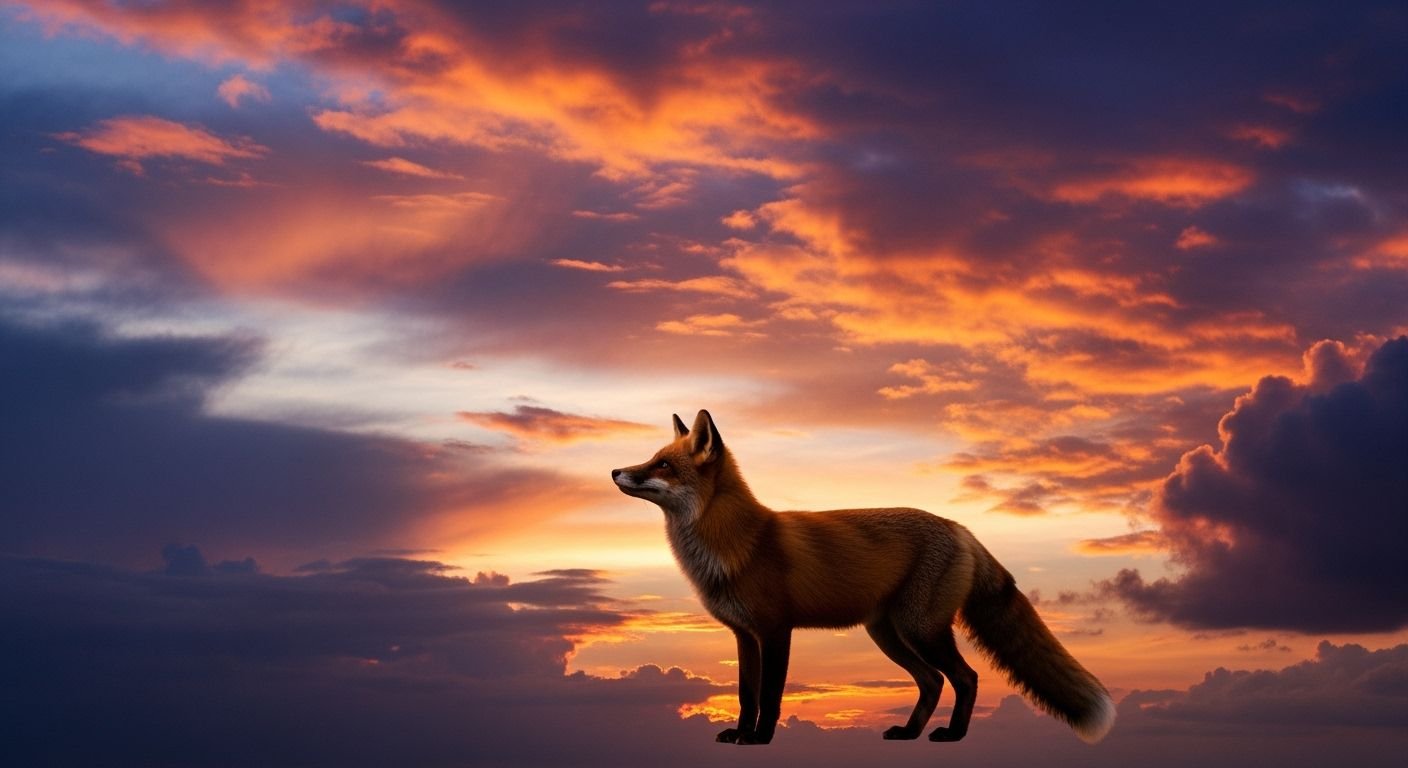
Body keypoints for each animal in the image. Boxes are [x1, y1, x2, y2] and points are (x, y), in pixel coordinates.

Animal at [611, 410, 1115, 746]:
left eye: (662, 466)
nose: (615, 470)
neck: (737, 542)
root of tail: (959, 527)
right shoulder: (743, 635)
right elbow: (746, 693)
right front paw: (740, 733)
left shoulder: (775, 631)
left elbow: (770, 695)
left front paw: (760, 740)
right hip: (888, 635)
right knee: (933, 681)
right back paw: (909, 733)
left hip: (920, 629)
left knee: (966, 677)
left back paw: (951, 736)